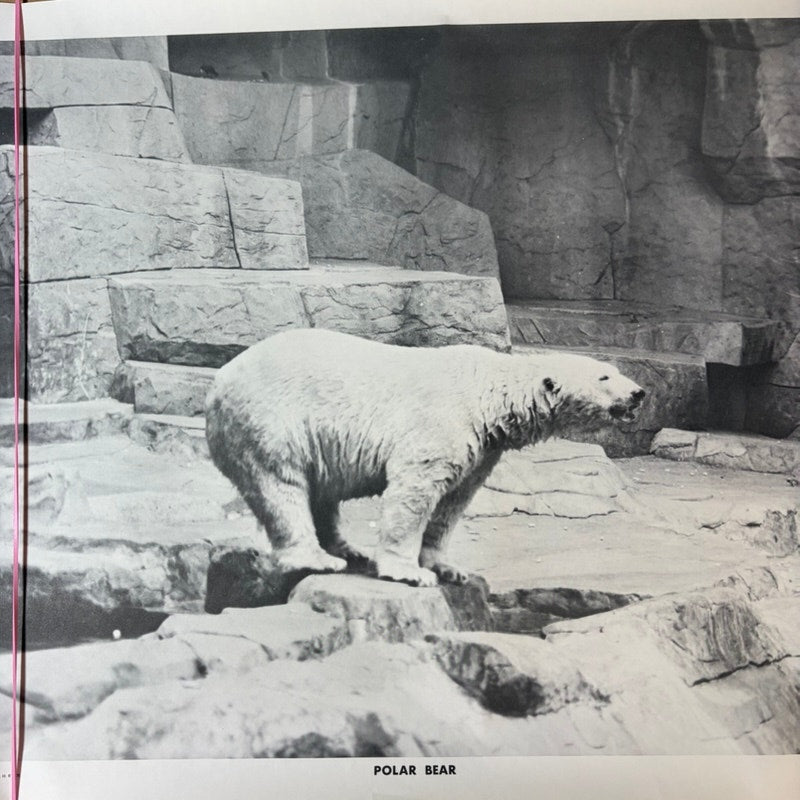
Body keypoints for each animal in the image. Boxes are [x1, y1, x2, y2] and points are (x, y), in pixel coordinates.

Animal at [205, 328, 645, 587]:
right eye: (605, 377)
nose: (639, 392)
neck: (489, 392)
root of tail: (218, 382)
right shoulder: (441, 423)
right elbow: (414, 491)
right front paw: (409, 572)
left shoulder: (484, 447)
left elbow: (454, 501)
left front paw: (447, 567)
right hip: (269, 419)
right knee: (280, 483)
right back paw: (318, 559)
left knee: (320, 493)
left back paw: (347, 549)